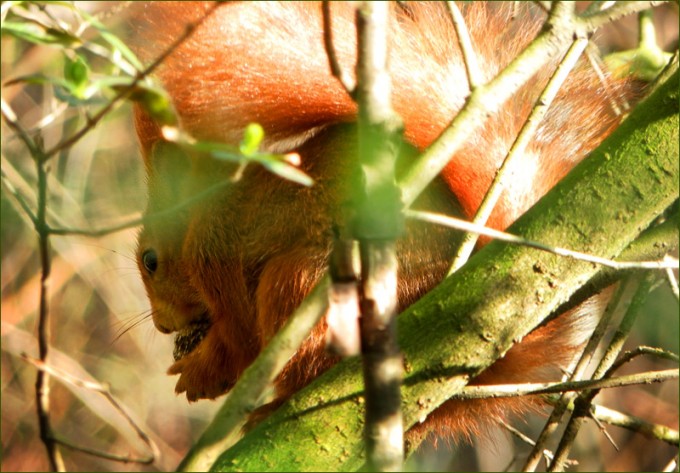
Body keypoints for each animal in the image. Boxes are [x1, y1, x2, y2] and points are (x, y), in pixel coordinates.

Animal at [129, 2, 636, 442]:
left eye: (150, 261)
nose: (162, 327)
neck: (208, 211)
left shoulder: (218, 257)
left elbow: (241, 344)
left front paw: (199, 373)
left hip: (303, 281)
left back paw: (271, 406)